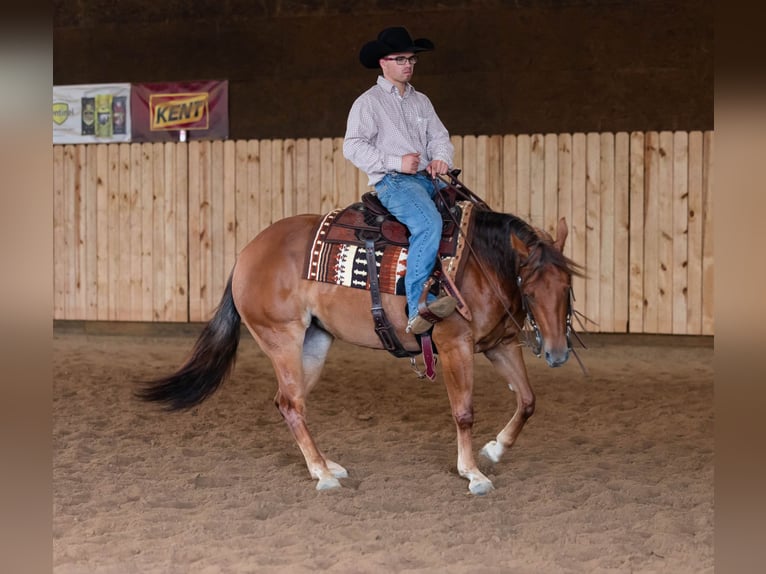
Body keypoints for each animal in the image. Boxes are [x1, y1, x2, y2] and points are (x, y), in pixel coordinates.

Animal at [138, 191, 584, 498]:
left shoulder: (500, 344)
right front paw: (472, 472)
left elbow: (527, 400)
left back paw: (325, 466)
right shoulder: (454, 343)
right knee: (291, 403)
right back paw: (322, 474)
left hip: (314, 342)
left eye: (566, 286)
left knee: (289, 403)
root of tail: (246, 254)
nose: (557, 353)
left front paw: (495, 449)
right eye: (530, 285)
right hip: (282, 338)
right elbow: (463, 412)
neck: (479, 262)